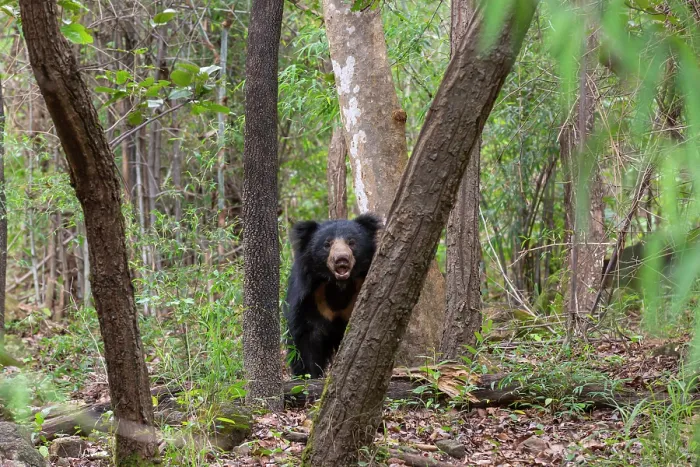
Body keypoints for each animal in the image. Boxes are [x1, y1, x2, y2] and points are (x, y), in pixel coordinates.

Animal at [284, 213, 382, 378]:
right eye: (327, 244)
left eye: (351, 242)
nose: (341, 258)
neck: (339, 286)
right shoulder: (309, 299)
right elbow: (305, 340)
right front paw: (307, 376)